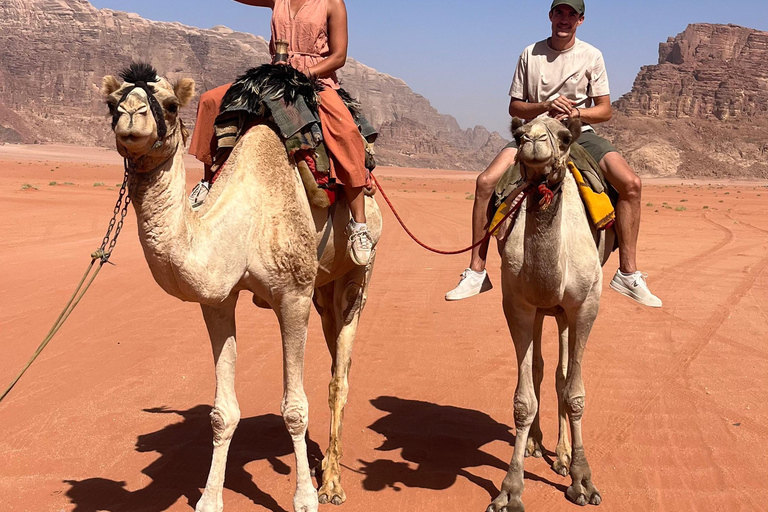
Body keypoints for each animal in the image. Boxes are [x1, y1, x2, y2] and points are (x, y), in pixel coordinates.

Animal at [101, 63, 382, 512]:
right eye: (112, 103)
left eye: (169, 104)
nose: (131, 117)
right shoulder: (218, 300)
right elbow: (222, 413)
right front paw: (209, 499)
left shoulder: (294, 294)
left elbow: (294, 409)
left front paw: (305, 498)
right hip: (324, 288)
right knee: (336, 347)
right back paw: (326, 467)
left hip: (358, 273)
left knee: (340, 374)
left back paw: (332, 484)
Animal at [488, 117, 612, 512]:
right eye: (518, 134)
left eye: (564, 136)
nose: (533, 140)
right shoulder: (517, 305)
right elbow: (522, 400)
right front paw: (510, 490)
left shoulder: (586, 305)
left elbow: (574, 394)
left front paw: (582, 481)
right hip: (544, 311)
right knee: (543, 369)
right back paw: (535, 444)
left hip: (563, 312)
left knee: (561, 372)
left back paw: (562, 456)